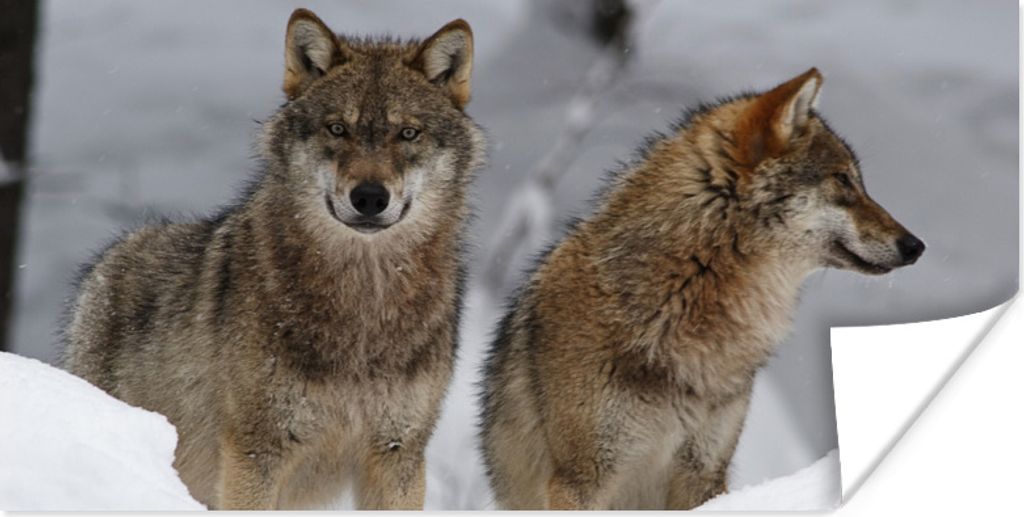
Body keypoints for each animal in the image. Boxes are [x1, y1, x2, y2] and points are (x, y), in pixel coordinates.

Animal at [62, 9, 485, 510]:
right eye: (337, 128)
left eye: (408, 133)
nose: (369, 197)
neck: (364, 300)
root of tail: (109, 260)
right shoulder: (256, 451)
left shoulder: (398, 454)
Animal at [478, 68, 924, 510]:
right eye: (844, 180)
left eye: (856, 181)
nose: (916, 246)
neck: (682, 291)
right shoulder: (580, 482)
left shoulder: (704, 472)